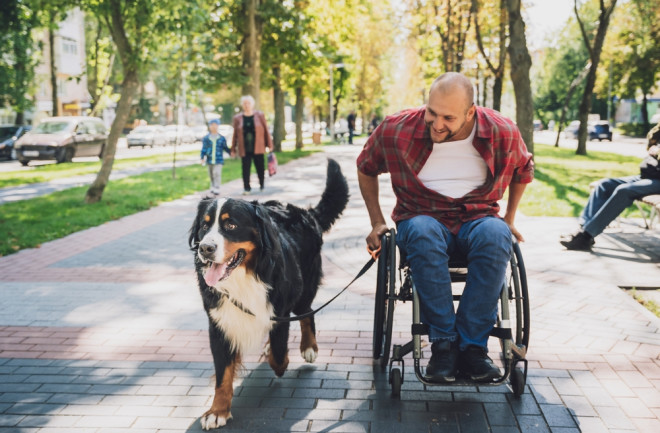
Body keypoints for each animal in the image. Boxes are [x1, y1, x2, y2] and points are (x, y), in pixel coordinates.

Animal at [188, 157, 348, 426]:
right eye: (204, 226)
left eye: (231, 224)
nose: (205, 248)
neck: (245, 275)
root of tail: (305, 213)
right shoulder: (219, 322)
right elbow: (222, 373)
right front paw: (218, 410)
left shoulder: (279, 309)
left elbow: (279, 352)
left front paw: (281, 361)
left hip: (304, 286)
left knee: (307, 313)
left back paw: (309, 347)